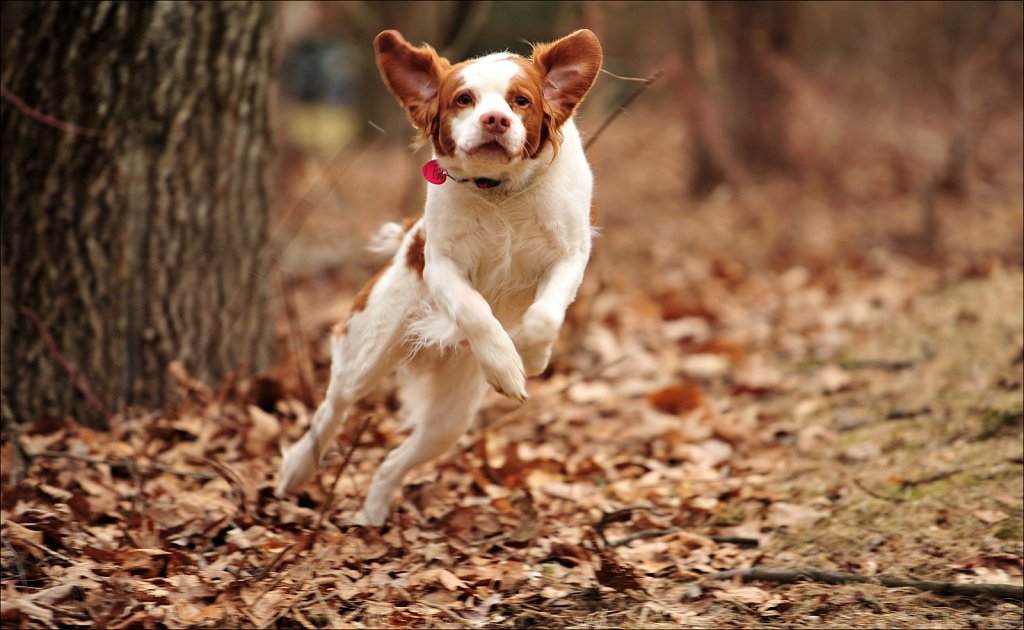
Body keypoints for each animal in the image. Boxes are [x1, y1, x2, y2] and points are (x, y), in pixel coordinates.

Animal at [276, 27, 602, 524]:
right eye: (464, 99)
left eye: (521, 100)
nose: (495, 120)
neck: (499, 191)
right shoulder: (441, 265)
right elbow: (474, 307)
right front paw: (506, 363)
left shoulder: (570, 256)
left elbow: (546, 315)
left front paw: (528, 357)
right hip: (368, 349)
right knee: (334, 405)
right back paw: (296, 469)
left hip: (451, 419)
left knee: (393, 461)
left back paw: (370, 518)